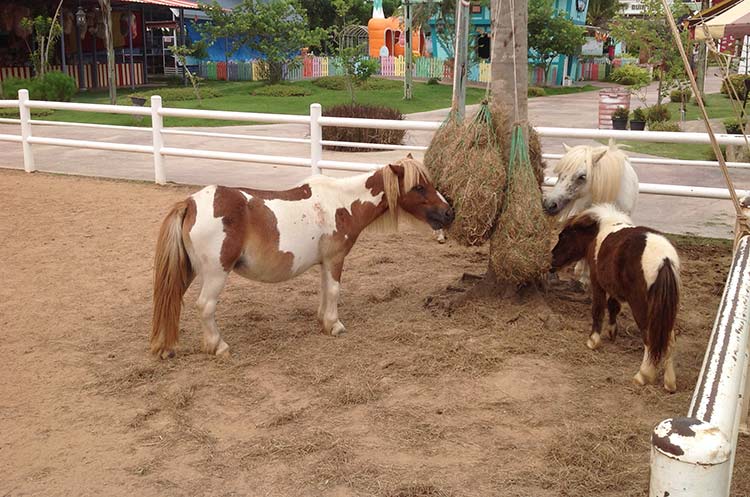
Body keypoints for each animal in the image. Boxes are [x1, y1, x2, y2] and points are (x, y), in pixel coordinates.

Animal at [153, 156, 456, 356]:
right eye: (419, 187)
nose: (449, 213)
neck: (342, 203)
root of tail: (190, 203)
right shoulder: (335, 259)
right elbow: (334, 290)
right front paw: (335, 325)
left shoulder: (325, 262)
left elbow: (324, 290)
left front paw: (323, 320)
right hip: (216, 273)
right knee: (205, 306)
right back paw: (217, 345)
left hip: (189, 271)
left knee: (173, 300)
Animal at [552, 204, 680, 392]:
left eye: (564, 236)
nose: (551, 261)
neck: (601, 230)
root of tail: (664, 260)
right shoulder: (613, 286)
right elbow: (613, 306)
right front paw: (612, 331)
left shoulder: (597, 282)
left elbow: (598, 309)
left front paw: (593, 340)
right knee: (669, 340)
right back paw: (670, 383)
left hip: (641, 307)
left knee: (650, 338)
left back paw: (643, 376)